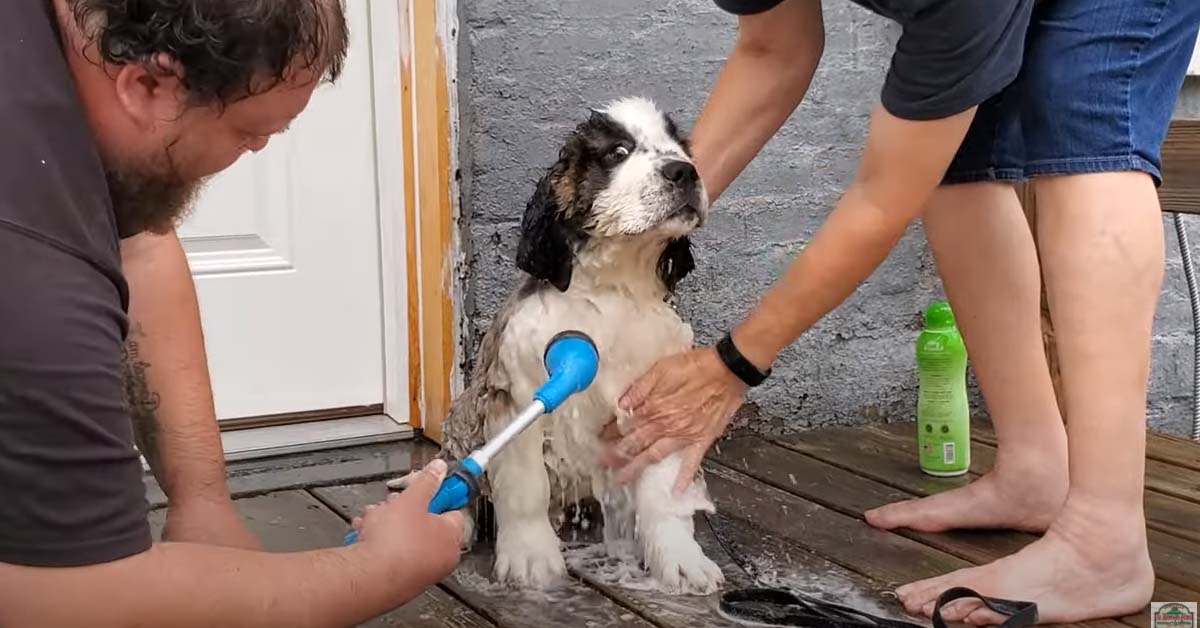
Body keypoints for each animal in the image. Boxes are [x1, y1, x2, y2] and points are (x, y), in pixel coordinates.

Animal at [398, 97, 724, 595]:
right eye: (617, 152)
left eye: (680, 148)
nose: (683, 172)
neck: (614, 290)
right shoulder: (516, 397)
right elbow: (524, 486)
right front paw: (531, 557)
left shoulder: (662, 400)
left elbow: (663, 491)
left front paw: (681, 559)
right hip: (463, 419)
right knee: (457, 473)